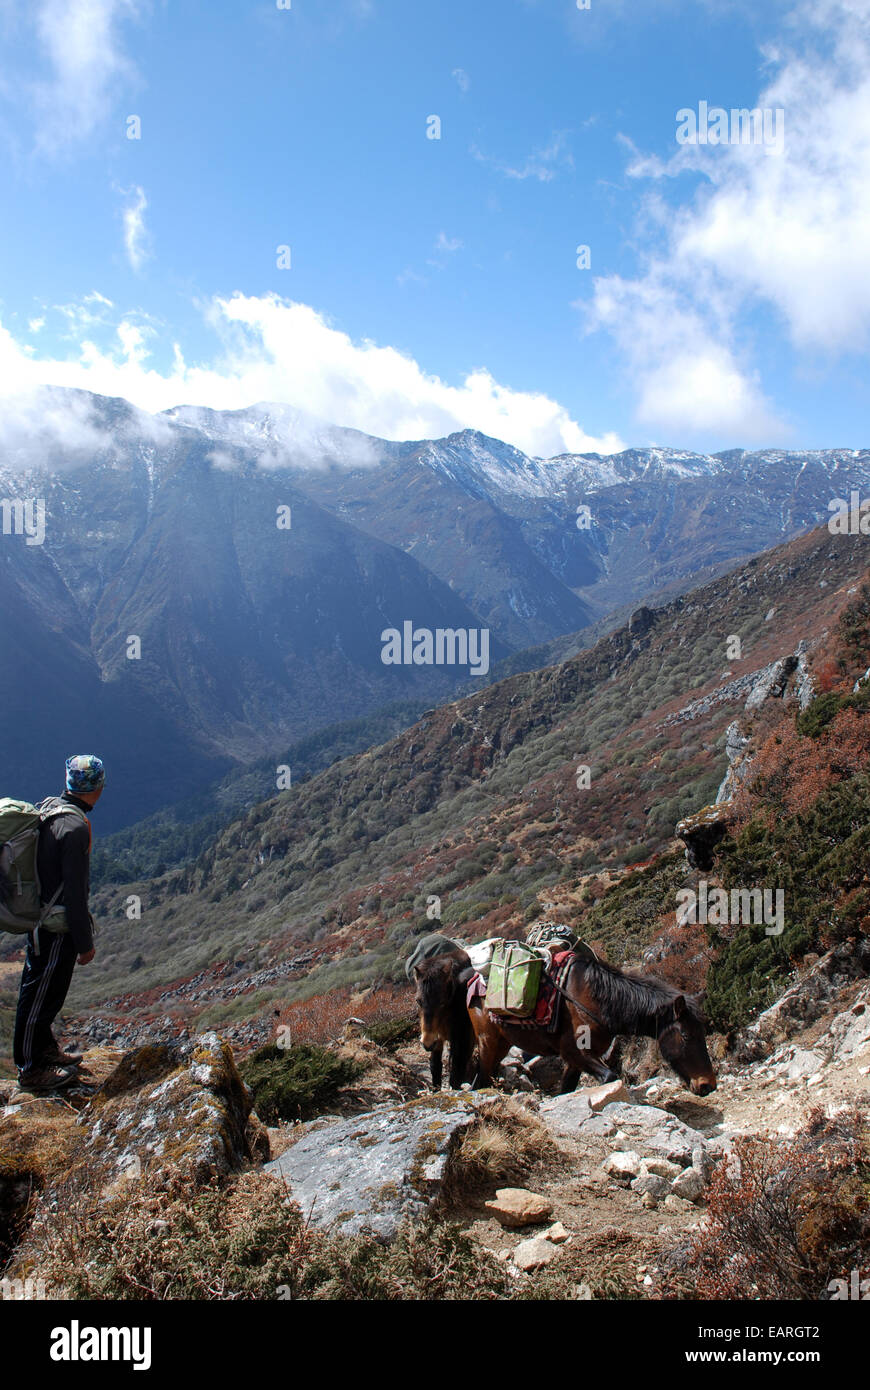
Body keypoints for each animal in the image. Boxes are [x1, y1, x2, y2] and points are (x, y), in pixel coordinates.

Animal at [411, 950, 475, 1089]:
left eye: (442, 1002)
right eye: (418, 1001)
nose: (427, 1043)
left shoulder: (462, 1041)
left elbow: (456, 1073)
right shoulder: (438, 1040)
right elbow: (435, 1067)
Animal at [469, 956, 717, 1095]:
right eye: (686, 1035)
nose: (708, 1085)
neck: (600, 1002)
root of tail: (475, 981)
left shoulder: (576, 1061)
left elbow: (566, 1090)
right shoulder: (573, 1052)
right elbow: (609, 1077)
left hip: (502, 1044)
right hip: (487, 1041)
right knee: (480, 1078)